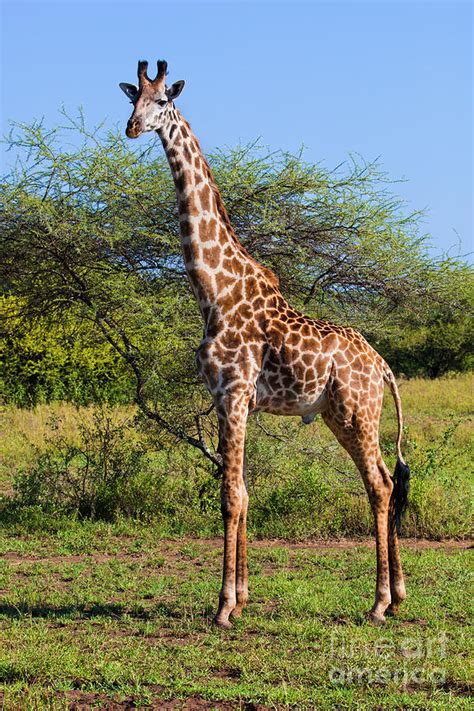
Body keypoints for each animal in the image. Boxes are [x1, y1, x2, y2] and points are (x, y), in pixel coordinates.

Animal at [119, 59, 412, 628]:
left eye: (163, 100)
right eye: (129, 99)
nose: (133, 128)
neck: (213, 289)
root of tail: (383, 366)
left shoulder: (232, 392)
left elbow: (231, 496)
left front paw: (223, 607)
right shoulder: (230, 400)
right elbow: (246, 493)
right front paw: (244, 594)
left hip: (358, 412)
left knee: (381, 484)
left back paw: (378, 603)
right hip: (339, 415)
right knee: (388, 480)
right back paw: (399, 593)